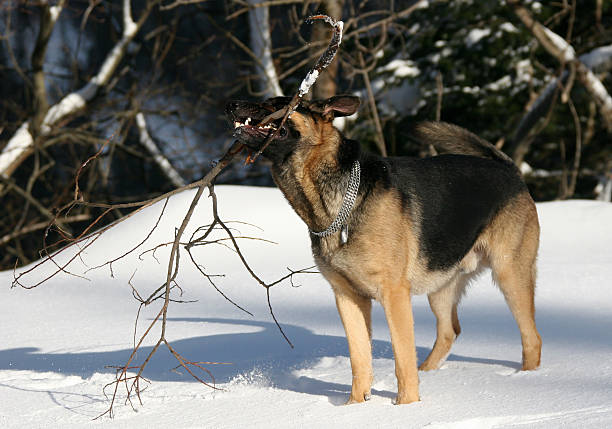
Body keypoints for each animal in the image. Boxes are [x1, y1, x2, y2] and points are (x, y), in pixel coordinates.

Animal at [225, 95, 540, 402]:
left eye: (277, 103)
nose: (231, 105)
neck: (340, 204)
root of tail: (510, 170)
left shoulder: (394, 294)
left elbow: (402, 358)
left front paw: (406, 406)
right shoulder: (347, 297)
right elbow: (359, 359)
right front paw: (354, 406)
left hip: (509, 275)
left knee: (531, 337)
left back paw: (526, 379)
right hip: (441, 285)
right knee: (449, 332)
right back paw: (429, 372)